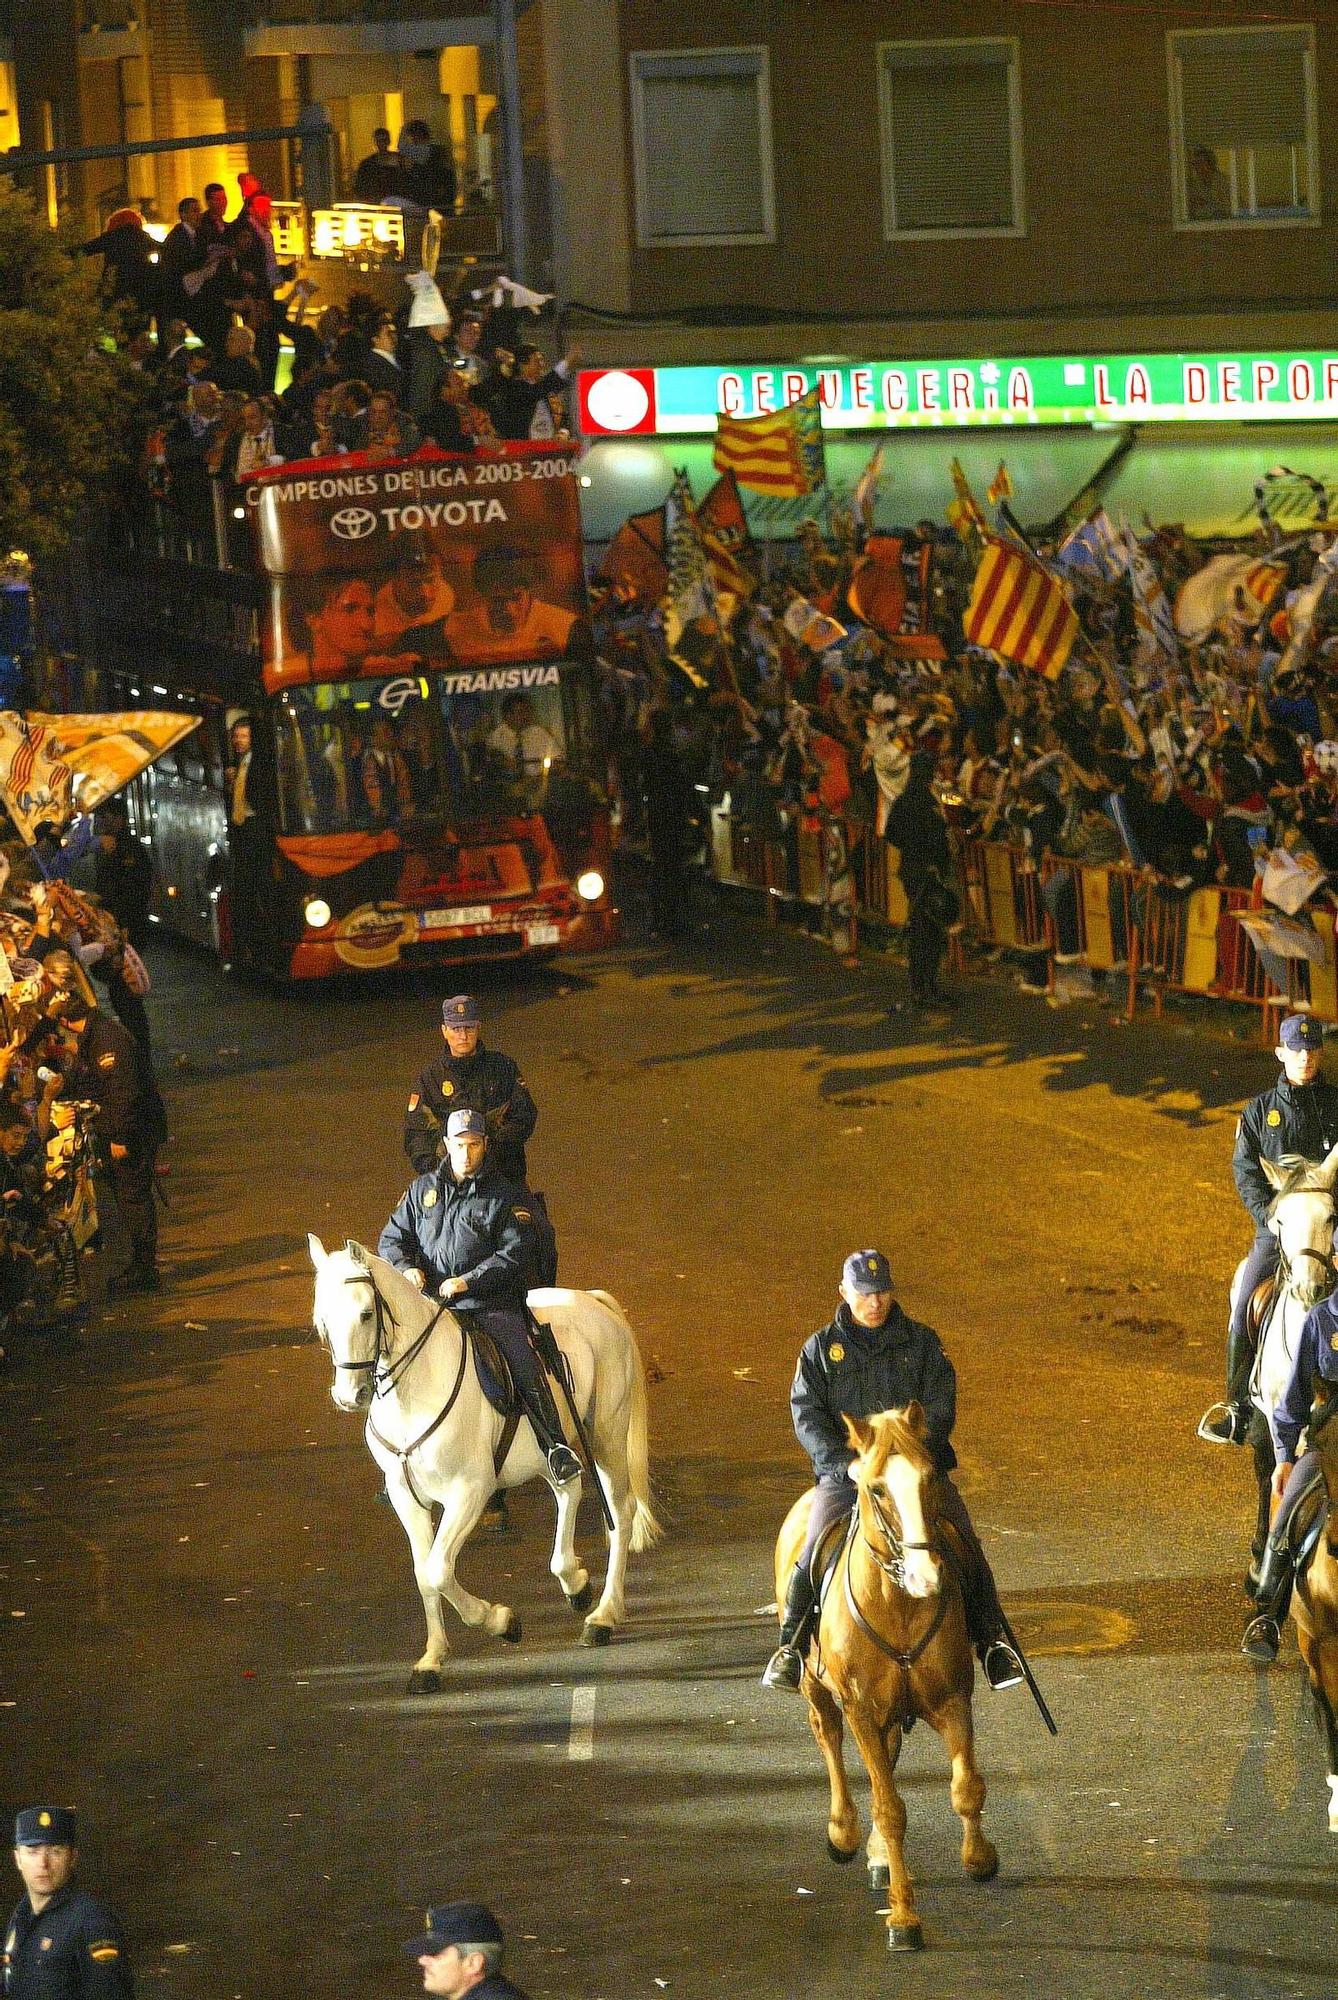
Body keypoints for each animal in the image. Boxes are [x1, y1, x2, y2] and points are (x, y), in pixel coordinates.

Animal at [304, 1232, 656, 1688]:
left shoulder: (469, 1490)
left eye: (366, 1314)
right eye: (322, 1321)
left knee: (620, 1514)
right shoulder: (406, 1496)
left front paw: (502, 1622)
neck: (414, 1390)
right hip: (546, 1448)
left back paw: (603, 1617)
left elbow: (438, 1568)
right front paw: (432, 1659)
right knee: (568, 1488)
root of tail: (594, 1303)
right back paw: (574, 1583)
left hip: (606, 1436)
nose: (350, 1396)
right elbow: (423, 1574)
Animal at [772, 1400, 992, 1944]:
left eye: (928, 1476)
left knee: (885, 1763)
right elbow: (890, 1809)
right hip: (817, 1689)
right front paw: (904, 1917)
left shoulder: (953, 1699)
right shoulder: (861, 1711)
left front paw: (980, 1859)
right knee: (828, 1737)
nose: (925, 1577)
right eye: (875, 1488)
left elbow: (966, 1787)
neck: (899, 1605)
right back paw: (844, 1833)